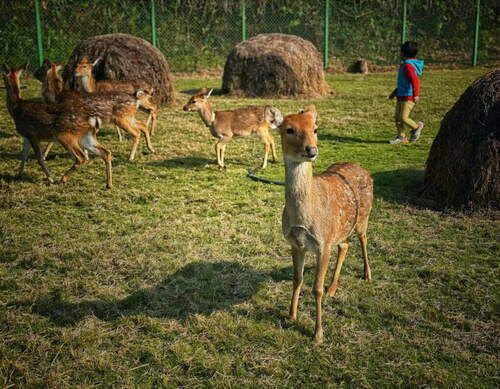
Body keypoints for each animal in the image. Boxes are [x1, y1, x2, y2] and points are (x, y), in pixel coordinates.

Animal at [280, 104, 374, 342]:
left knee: (363, 238)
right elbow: (297, 279)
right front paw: (291, 315)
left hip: (363, 217)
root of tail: (363, 168)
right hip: (339, 230)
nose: (311, 150)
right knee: (345, 245)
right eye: (289, 129)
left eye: (315, 128)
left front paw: (318, 334)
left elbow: (316, 289)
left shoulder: (322, 243)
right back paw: (333, 288)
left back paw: (367, 274)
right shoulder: (295, 243)